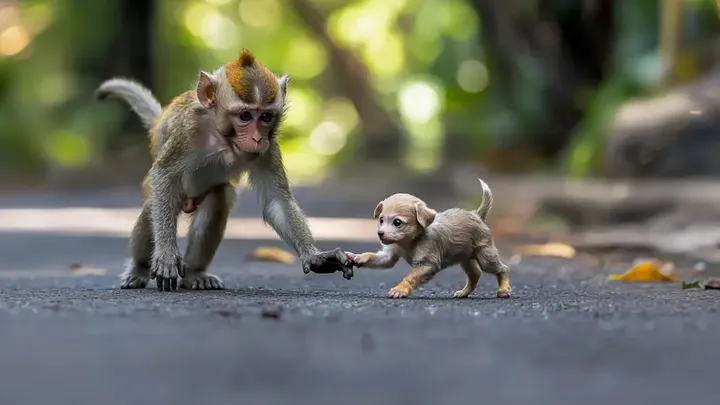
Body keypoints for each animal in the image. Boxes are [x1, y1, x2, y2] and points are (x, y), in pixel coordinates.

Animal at [96, 49, 353, 292]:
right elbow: (164, 175)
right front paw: (167, 255)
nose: (257, 138)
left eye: (266, 117)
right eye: (245, 116)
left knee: (218, 200)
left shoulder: (268, 148)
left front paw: (314, 255)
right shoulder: (188, 131)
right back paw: (138, 269)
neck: (223, 138)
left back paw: (195, 274)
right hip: (152, 188)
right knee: (154, 207)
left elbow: (276, 200)